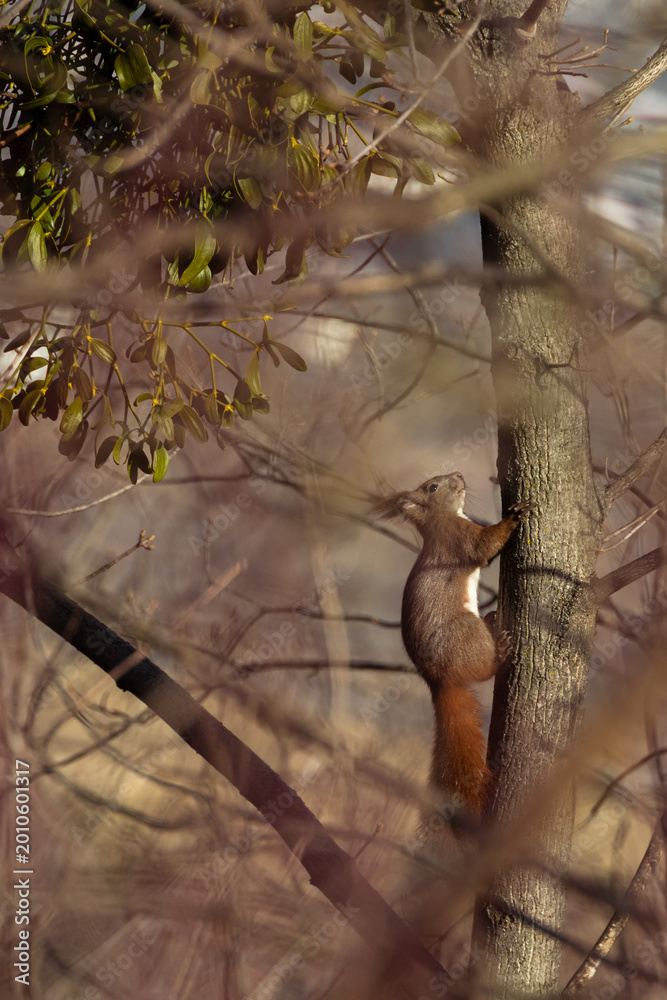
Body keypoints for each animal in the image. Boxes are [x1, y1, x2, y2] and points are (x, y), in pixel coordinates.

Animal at [372, 472, 529, 819]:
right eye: (432, 486)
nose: (458, 475)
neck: (442, 518)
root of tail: (439, 680)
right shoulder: (457, 538)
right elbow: (483, 547)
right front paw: (512, 517)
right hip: (466, 632)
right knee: (485, 668)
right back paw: (500, 648)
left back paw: (494, 619)